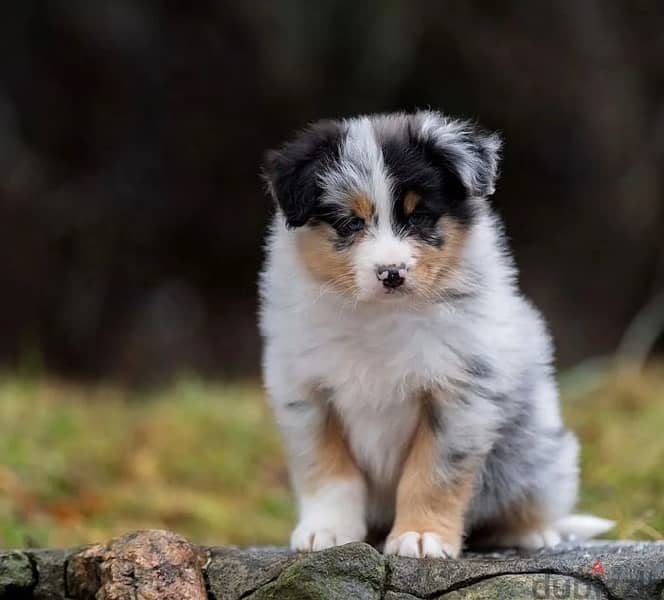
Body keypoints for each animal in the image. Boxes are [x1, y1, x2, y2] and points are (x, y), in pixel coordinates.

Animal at [258, 109, 612, 556]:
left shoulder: (460, 392)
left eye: (419, 216)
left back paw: (533, 531)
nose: (391, 273)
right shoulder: (307, 392)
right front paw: (328, 531)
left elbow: (432, 474)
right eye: (350, 223)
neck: (381, 317)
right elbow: (327, 468)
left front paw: (421, 536)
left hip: (536, 451)